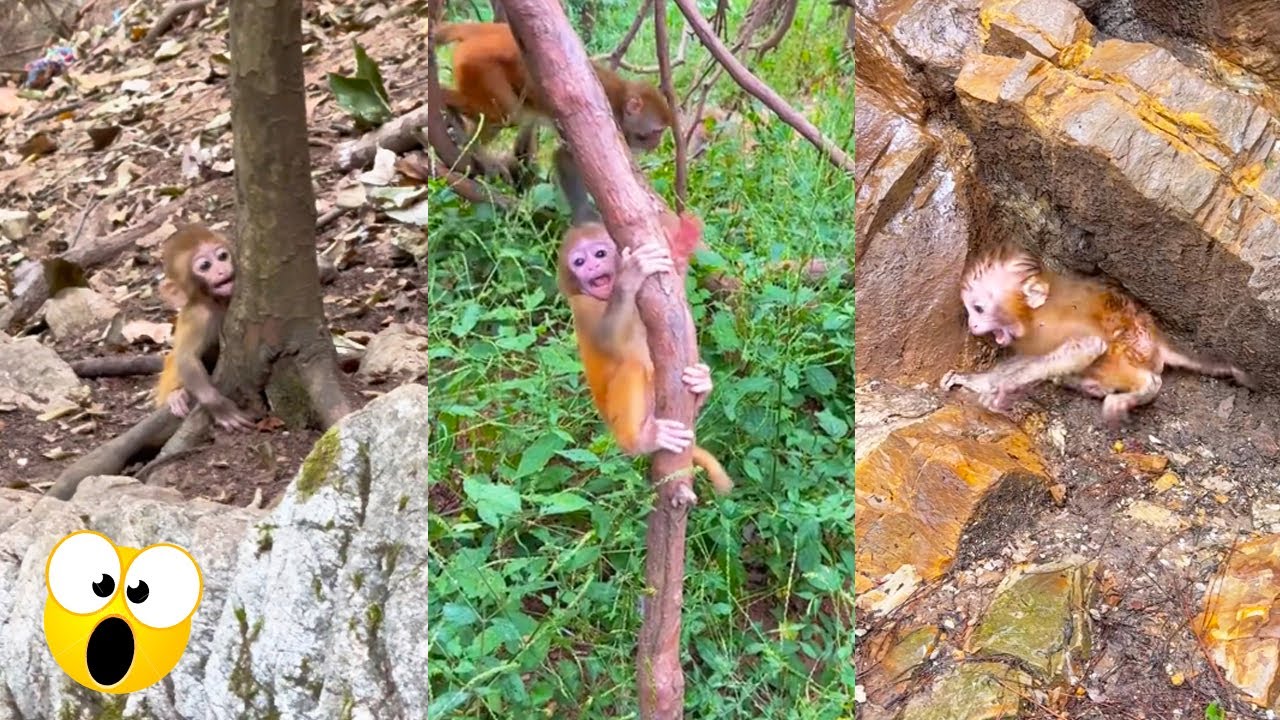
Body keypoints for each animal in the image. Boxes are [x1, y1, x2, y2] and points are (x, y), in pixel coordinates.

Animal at [153, 225, 255, 431]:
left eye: (222, 256)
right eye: (205, 266)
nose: (221, 270)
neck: (216, 301)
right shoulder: (199, 316)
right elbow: (186, 358)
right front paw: (219, 406)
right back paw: (176, 396)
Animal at [557, 213, 733, 498]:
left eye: (599, 253)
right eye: (579, 262)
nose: (592, 267)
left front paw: (680, 251)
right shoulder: (583, 306)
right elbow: (608, 339)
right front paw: (631, 276)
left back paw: (701, 385)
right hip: (616, 421)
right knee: (634, 366)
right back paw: (640, 441)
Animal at [940, 247, 1254, 427]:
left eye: (979, 308)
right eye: (971, 309)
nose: (973, 325)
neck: (1031, 314)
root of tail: (1156, 337)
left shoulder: (1051, 324)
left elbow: (1089, 346)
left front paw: (1006, 387)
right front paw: (977, 381)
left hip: (1134, 347)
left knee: (1124, 363)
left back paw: (1137, 389)